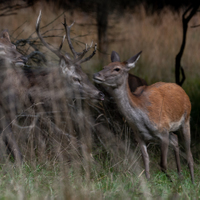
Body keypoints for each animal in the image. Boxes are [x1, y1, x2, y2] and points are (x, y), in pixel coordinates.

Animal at [93, 50, 194, 183]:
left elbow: (163, 164)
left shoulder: (162, 132)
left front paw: (171, 182)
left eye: (117, 69)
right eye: (105, 66)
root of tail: (182, 91)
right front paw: (149, 181)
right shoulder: (139, 136)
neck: (141, 120)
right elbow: (145, 161)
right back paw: (180, 175)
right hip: (170, 130)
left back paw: (192, 180)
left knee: (189, 153)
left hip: (186, 119)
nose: (96, 75)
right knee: (175, 138)